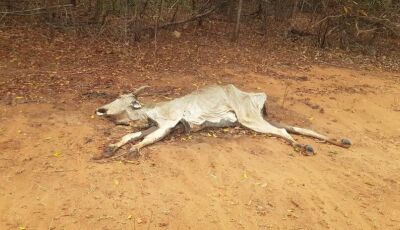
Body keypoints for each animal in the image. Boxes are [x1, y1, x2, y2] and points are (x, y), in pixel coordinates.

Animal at [94, 84, 350, 160]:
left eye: (124, 99)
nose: (101, 109)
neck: (151, 111)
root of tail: (257, 97)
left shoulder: (166, 124)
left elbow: (142, 140)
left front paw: (133, 150)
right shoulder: (154, 125)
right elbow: (129, 135)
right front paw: (110, 148)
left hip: (249, 119)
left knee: (284, 133)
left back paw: (303, 147)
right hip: (257, 118)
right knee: (300, 128)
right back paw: (339, 141)